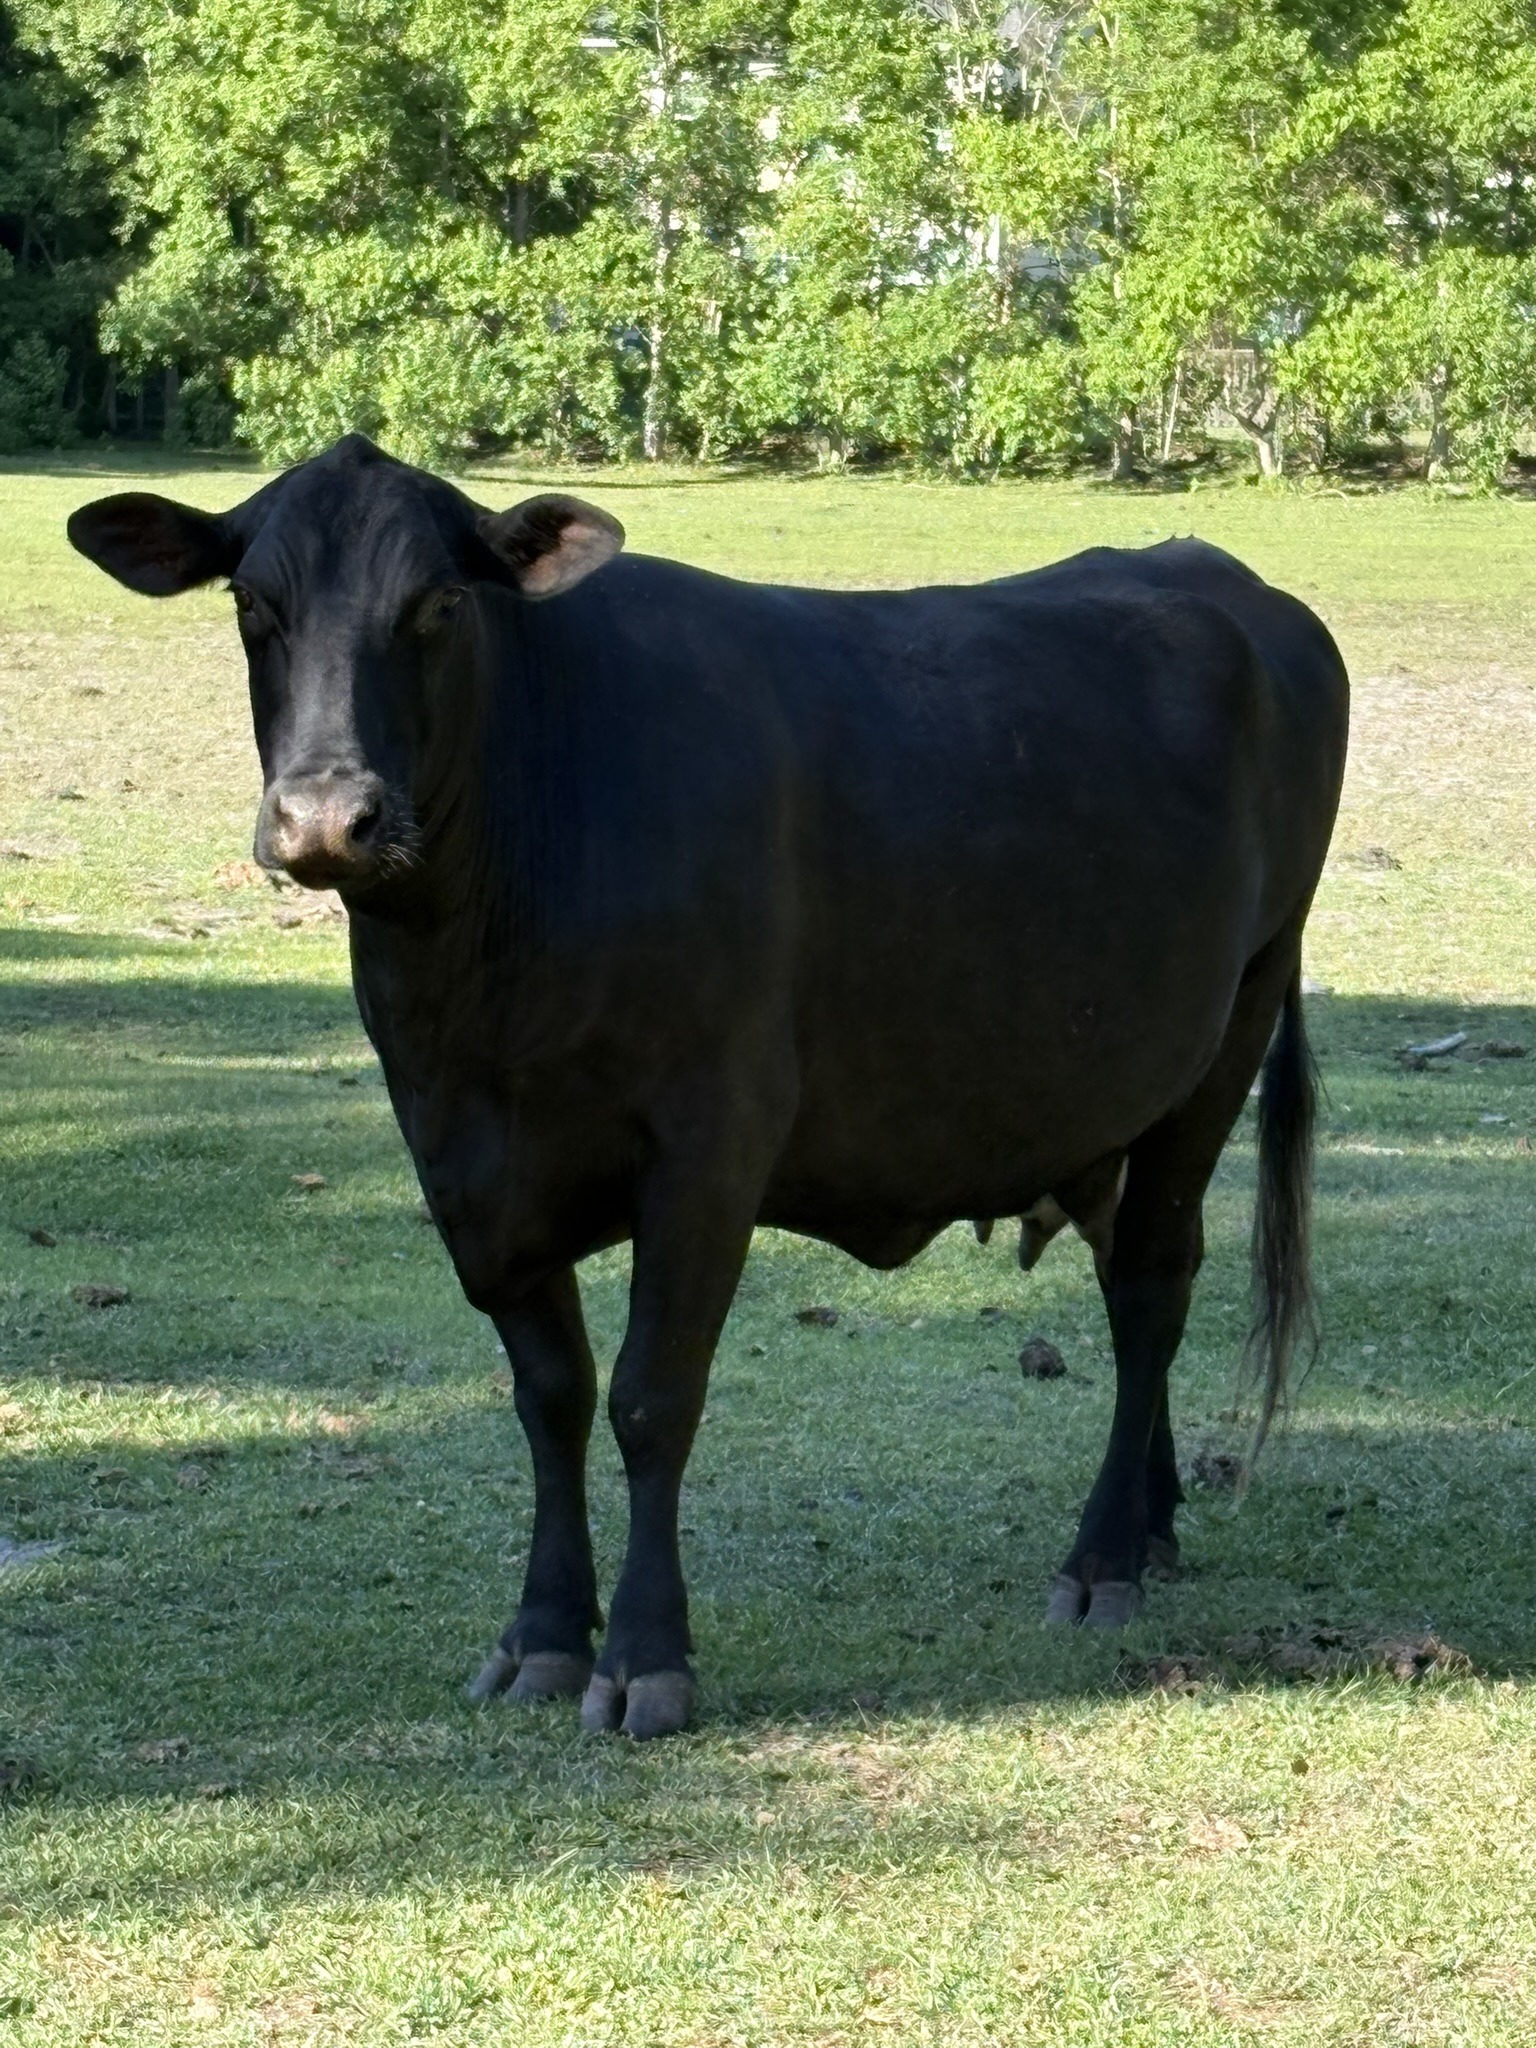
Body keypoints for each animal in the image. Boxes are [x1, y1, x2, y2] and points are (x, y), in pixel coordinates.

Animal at [68, 435, 1348, 1738]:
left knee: (1150, 1285)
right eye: (250, 604)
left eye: (438, 604)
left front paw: (646, 1655)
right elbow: (551, 1392)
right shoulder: (463, 1162)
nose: (329, 817)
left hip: (1234, 1019)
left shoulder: (708, 1142)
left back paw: (1104, 1558)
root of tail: (1230, 579)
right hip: (1105, 1089)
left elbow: (650, 1394)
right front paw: (541, 1635)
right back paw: (1154, 1518)